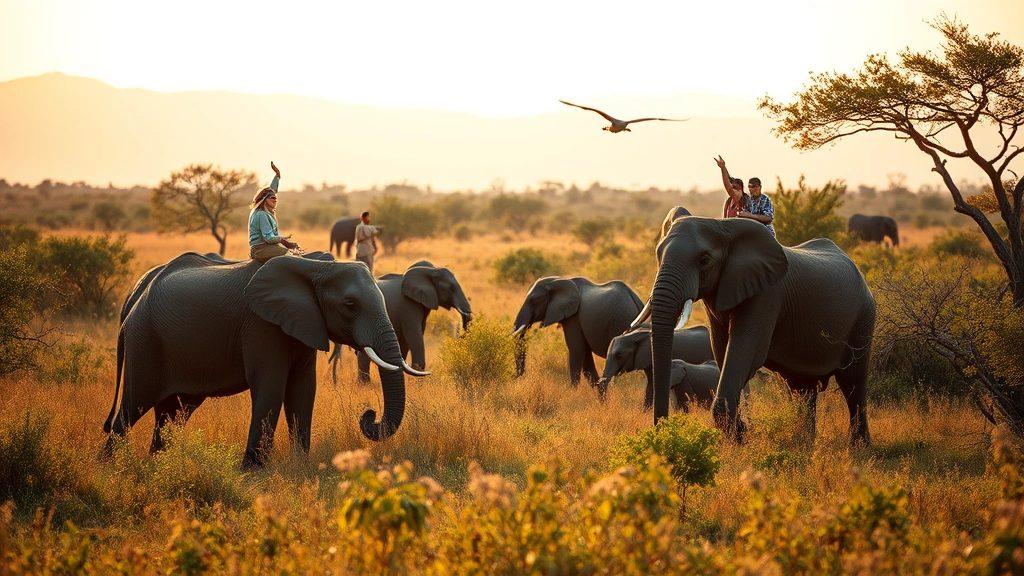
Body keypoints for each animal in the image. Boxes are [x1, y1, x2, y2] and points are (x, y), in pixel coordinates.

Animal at [104, 252, 427, 469]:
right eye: (350, 305)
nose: (369, 414)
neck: (314, 267)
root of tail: (132, 301)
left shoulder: (304, 324)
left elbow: (303, 391)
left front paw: (300, 465)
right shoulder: (262, 325)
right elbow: (271, 387)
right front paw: (253, 471)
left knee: (171, 414)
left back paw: (156, 467)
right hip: (145, 342)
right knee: (130, 410)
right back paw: (108, 469)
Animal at [327, 261, 472, 384]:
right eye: (451, 288)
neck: (431, 270)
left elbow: (405, 342)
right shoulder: (409, 307)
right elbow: (414, 337)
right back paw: (364, 385)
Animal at [512, 276, 643, 387]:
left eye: (533, 301)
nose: (519, 376)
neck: (558, 280)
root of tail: (636, 300)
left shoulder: (573, 318)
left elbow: (577, 350)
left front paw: (572, 392)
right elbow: (586, 355)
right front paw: (597, 389)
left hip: (621, 322)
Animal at [635, 214, 875, 444]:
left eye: (704, 260)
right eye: (658, 255)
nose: (662, 430)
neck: (723, 227)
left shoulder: (767, 295)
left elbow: (745, 354)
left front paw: (740, 437)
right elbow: (723, 354)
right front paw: (741, 433)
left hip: (863, 318)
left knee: (853, 384)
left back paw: (858, 447)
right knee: (802, 389)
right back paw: (805, 443)